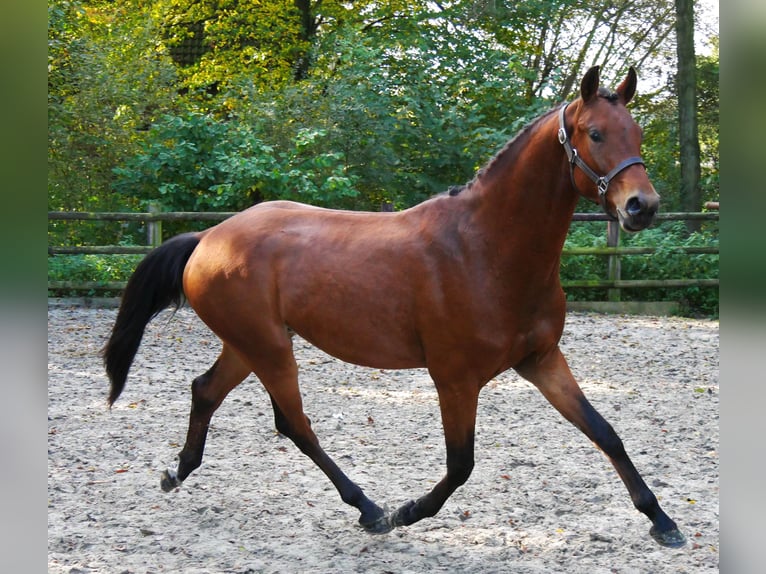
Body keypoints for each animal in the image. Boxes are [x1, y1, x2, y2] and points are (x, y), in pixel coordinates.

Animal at [103, 66, 688, 548]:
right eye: (595, 134)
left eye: (637, 133)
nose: (643, 207)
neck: (485, 248)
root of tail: (208, 238)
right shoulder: (455, 379)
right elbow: (461, 466)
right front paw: (406, 512)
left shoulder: (541, 361)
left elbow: (606, 432)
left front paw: (663, 521)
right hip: (267, 347)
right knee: (294, 423)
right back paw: (369, 508)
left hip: (250, 344)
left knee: (206, 391)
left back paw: (176, 473)